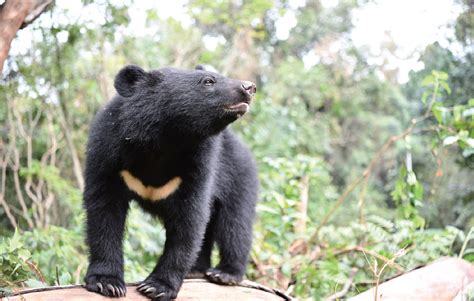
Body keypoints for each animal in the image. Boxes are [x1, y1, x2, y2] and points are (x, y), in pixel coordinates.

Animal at [82, 64, 260, 298]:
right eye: (208, 81)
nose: (249, 87)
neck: (167, 139)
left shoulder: (199, 166)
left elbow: (189, 220)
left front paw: (156, 287)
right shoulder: (107, 153)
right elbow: (104, 212)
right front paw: (107, 283)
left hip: (239, 177)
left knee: (235, 224)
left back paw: (225, 273)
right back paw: (197, 270)